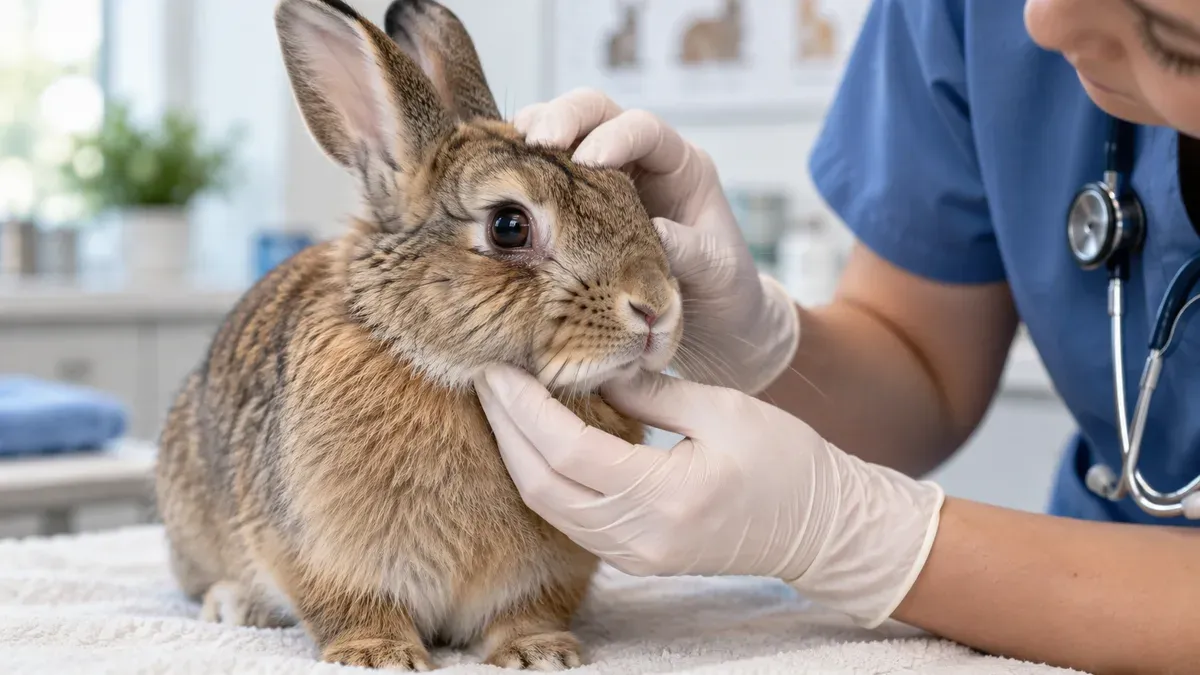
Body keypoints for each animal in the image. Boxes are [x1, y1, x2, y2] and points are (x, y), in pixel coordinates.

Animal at [152, 0, 683, 670]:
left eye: (629, 194)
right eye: (509, 226)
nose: (657, 309)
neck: (443, 372)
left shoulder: (544, 576)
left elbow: (524, 613)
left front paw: (540, 651)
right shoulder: (325, 554)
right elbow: (353, 607)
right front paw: (378, 655)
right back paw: (235, 604)